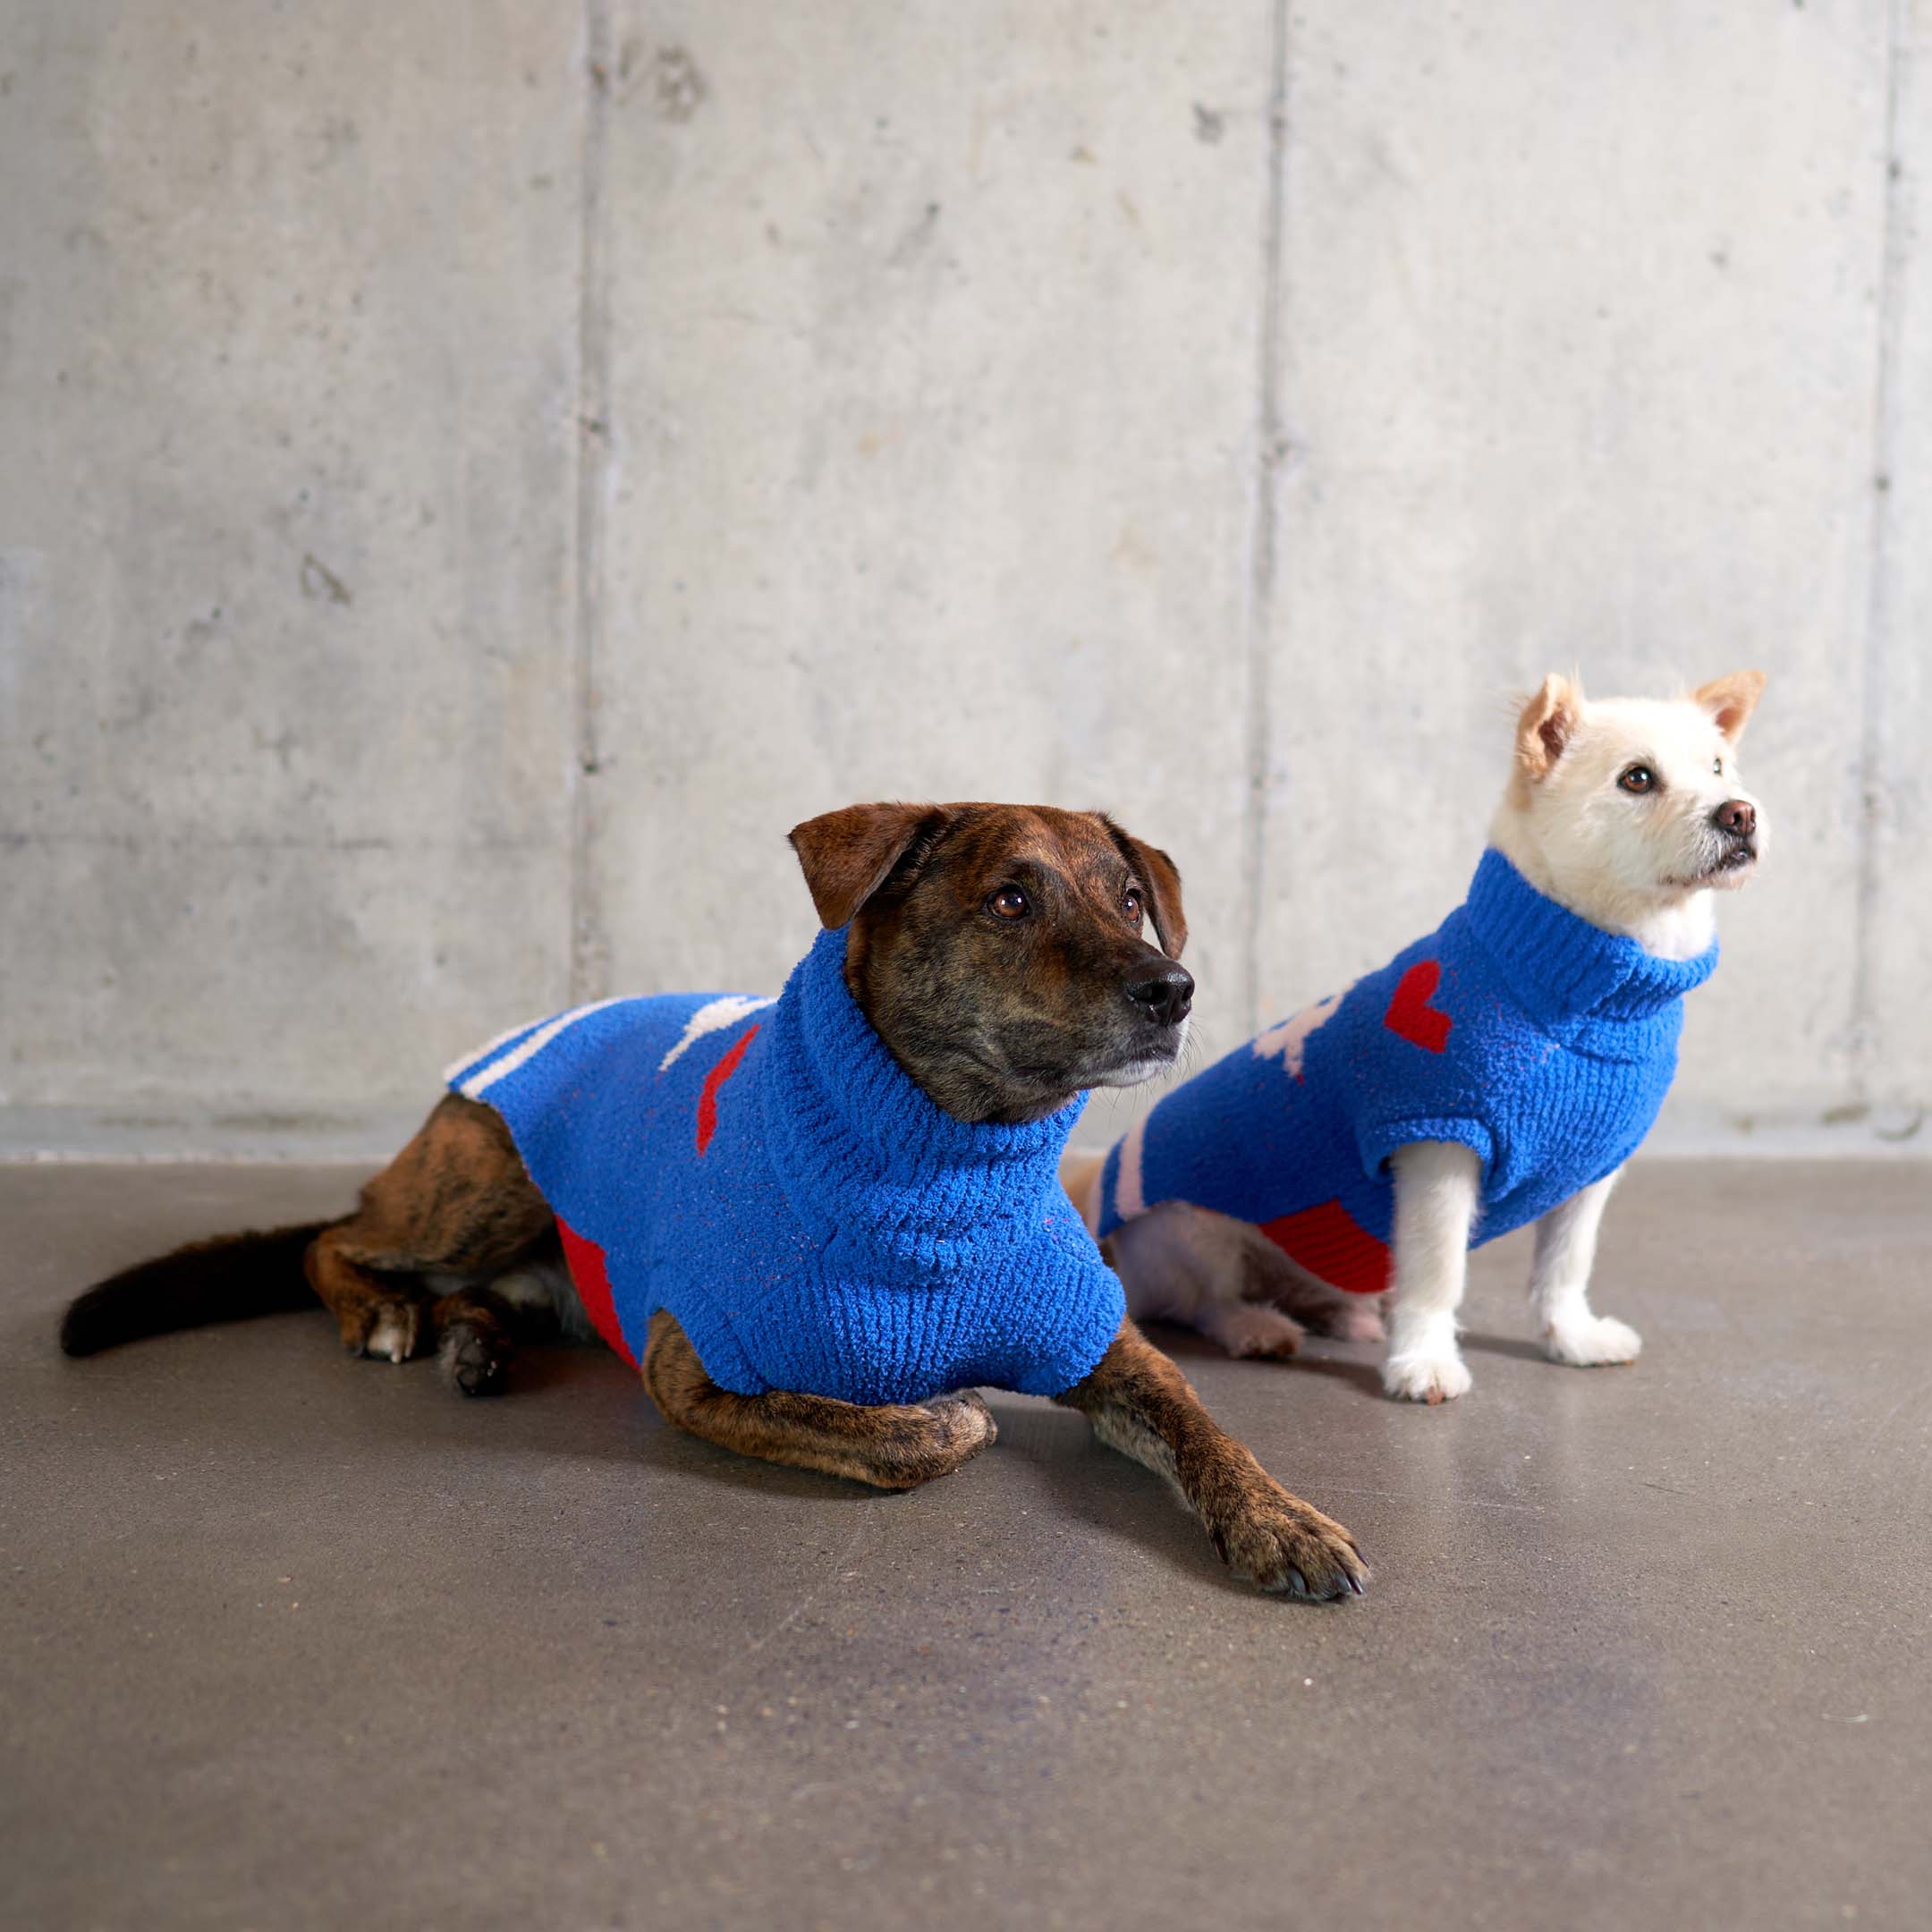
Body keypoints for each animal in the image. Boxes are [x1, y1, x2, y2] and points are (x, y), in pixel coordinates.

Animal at [60, 800, 1360, 1599]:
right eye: (1010, 901)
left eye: (1129, 896)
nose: (1173, 989)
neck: (940, 1167)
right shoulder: (697, 1371)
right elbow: (910, 1438)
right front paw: (945, 1414)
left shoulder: (1104, 1341)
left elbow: (1203, 1423)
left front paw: (1282, 1516)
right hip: (481, 1180)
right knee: (335, 1239)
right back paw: (387, 1313)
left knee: (476, 1291)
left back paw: (475, 1344)